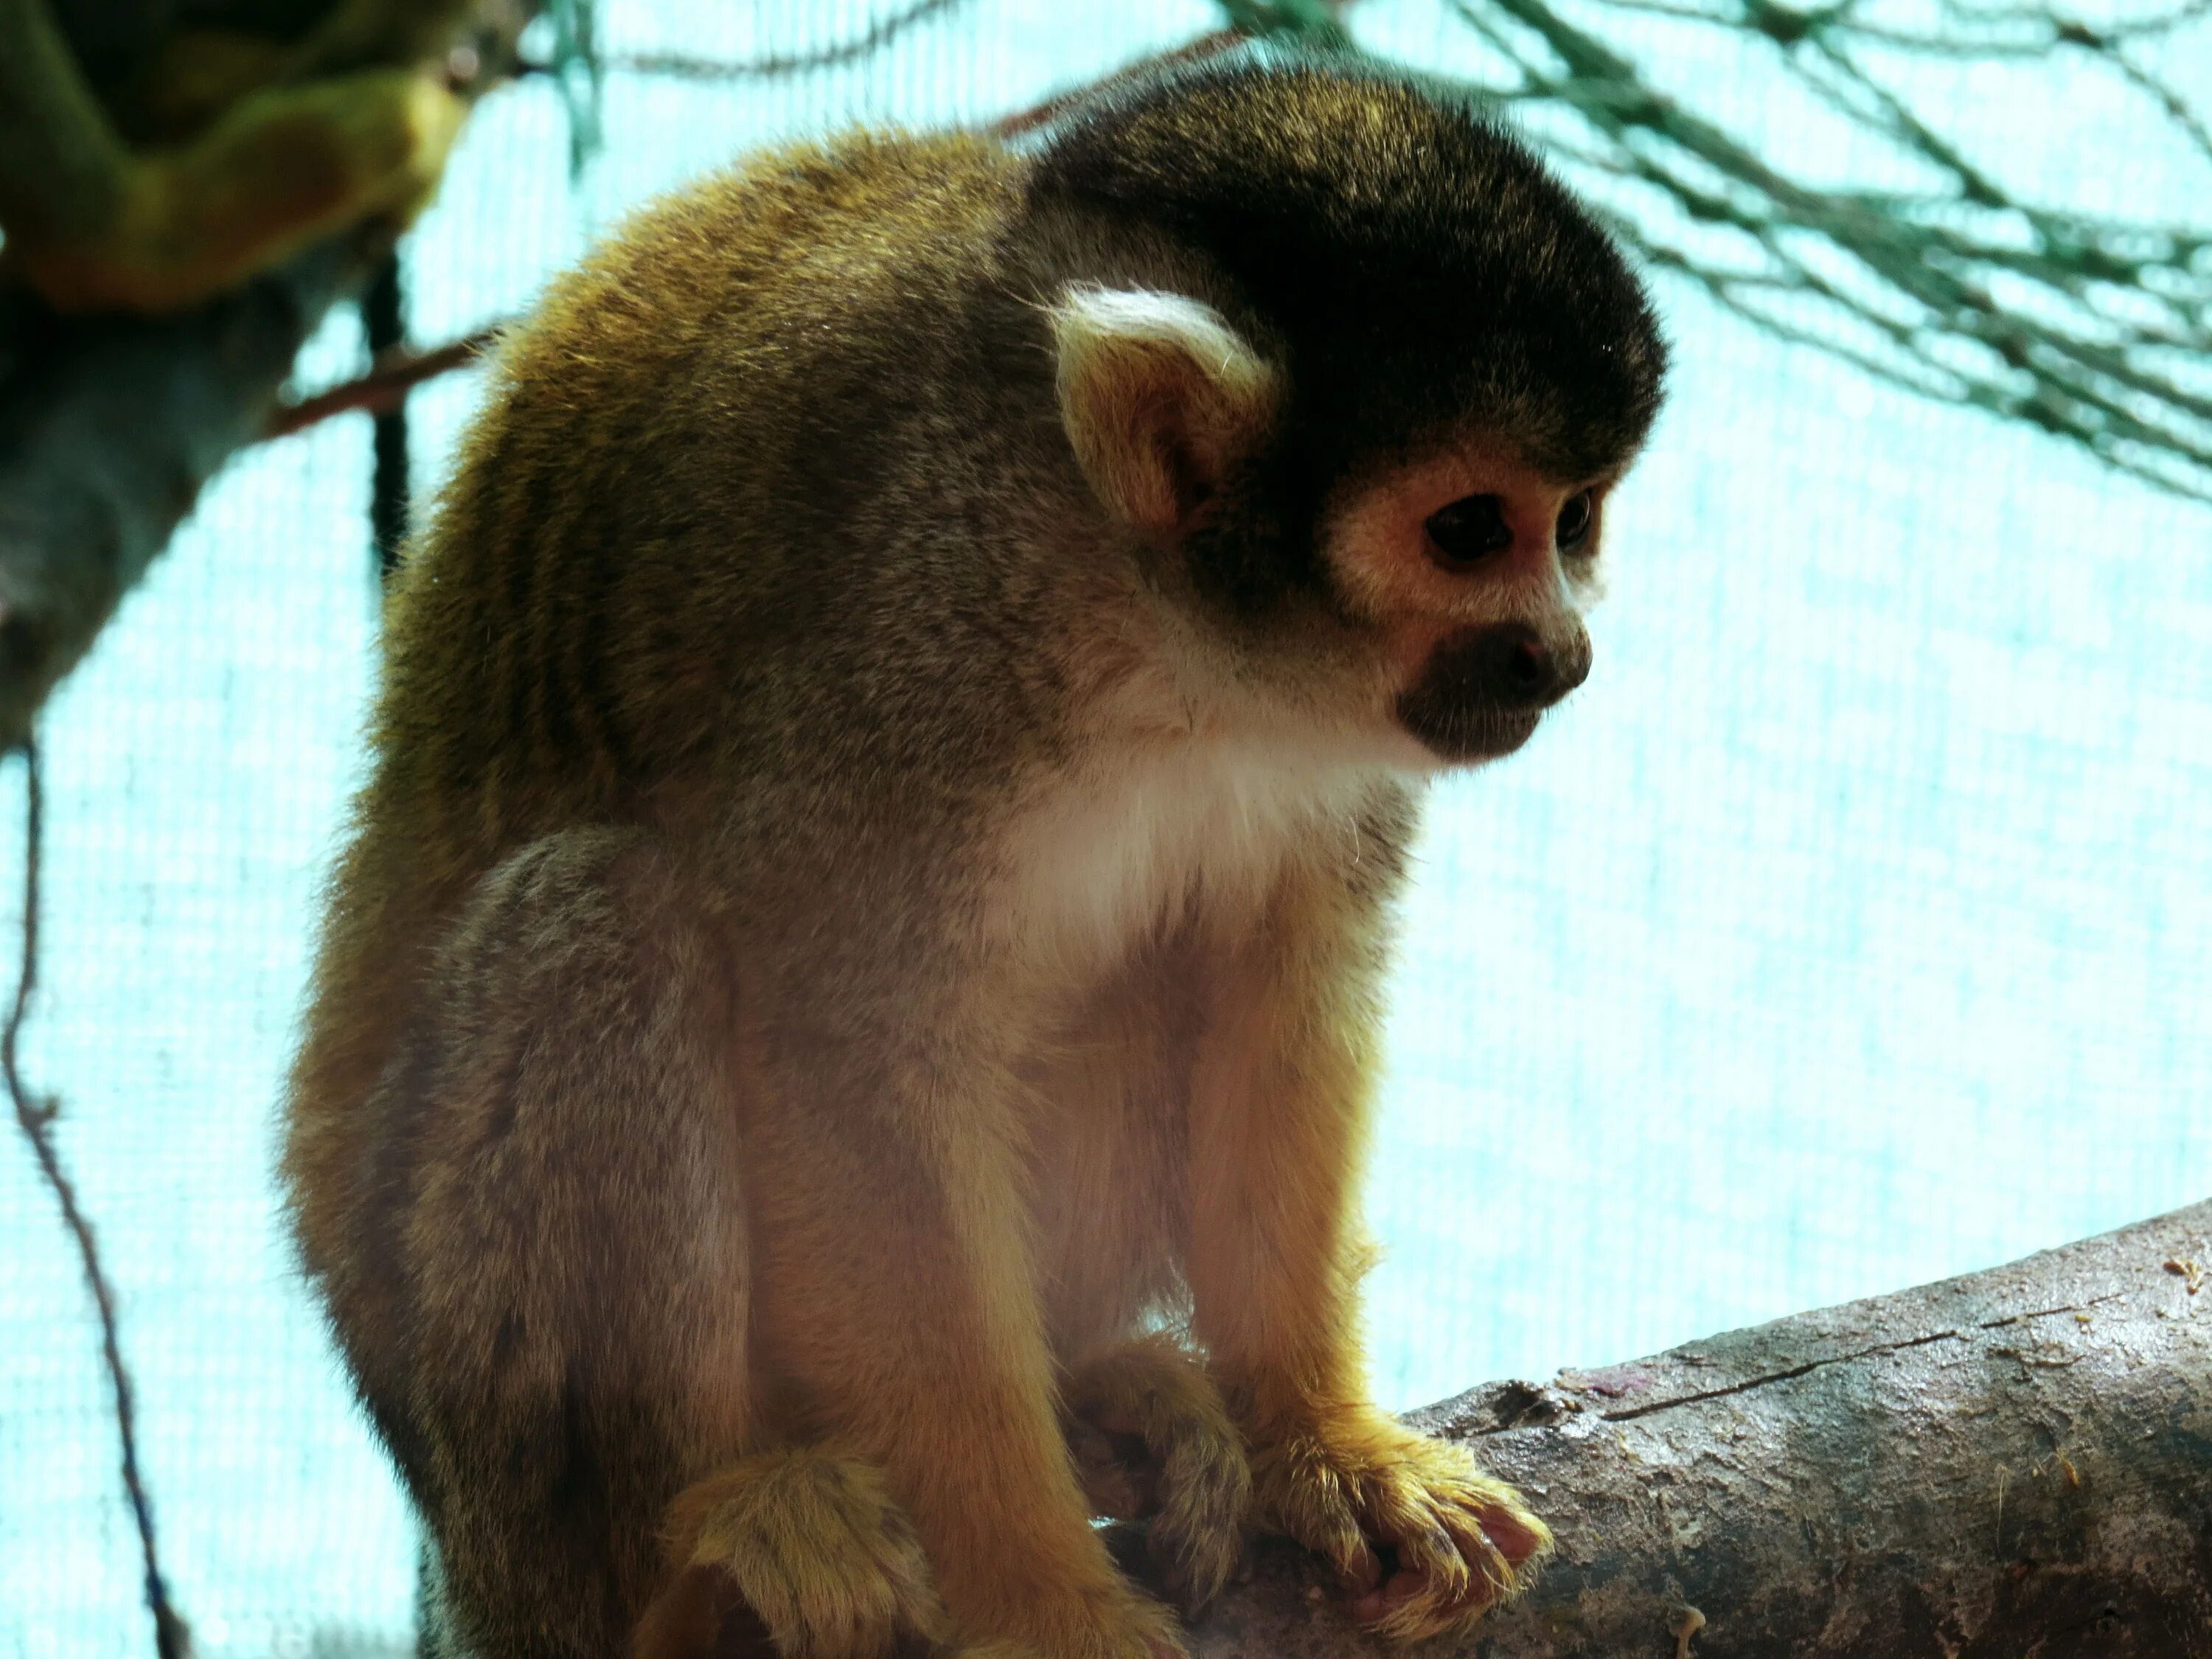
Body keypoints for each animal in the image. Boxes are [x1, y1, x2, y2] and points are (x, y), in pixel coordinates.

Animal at [281, 52, 1663, 1659]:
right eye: (1468, 529)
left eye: (1577, 521)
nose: (1560, 655)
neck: (1158, 633)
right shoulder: (906, 641)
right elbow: (851, 1061)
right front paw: (1039, 1595)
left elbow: (1286, 988)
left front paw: (1328, 1448)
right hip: (494, 1468)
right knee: (605, 915)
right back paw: (713, 1535)